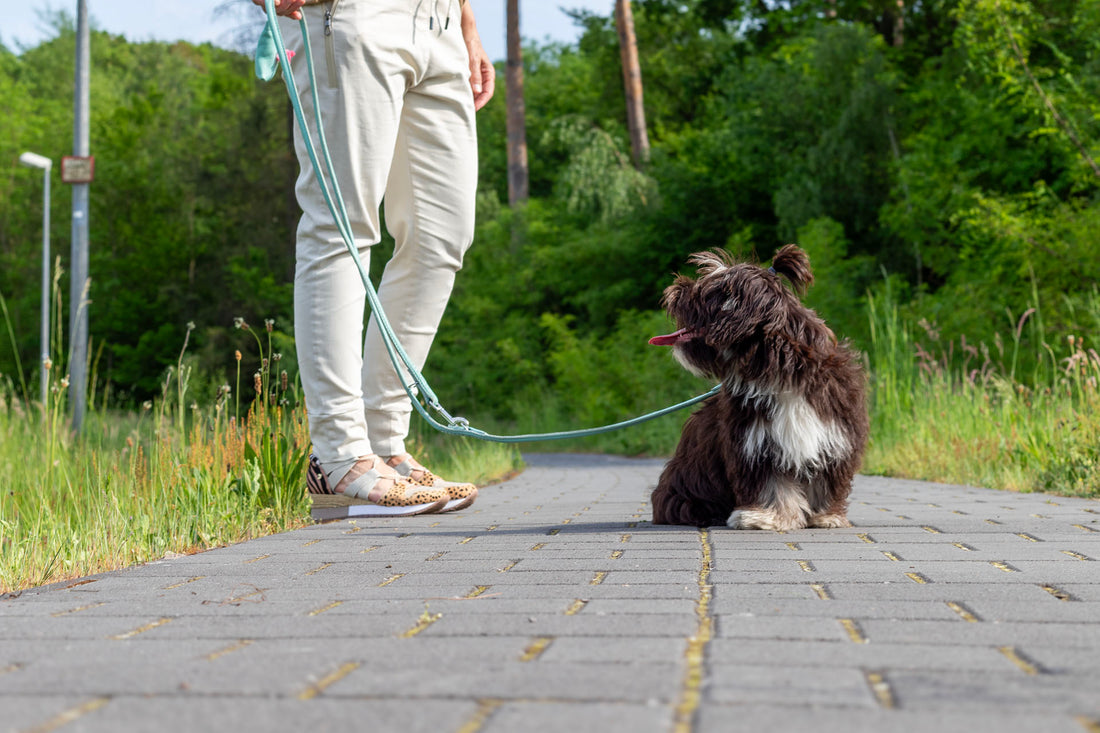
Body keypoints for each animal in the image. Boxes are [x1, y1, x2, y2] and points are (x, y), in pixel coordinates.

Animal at [642, 245, 866, 526]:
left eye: (704, 293)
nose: (675, 289)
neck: (780, 371)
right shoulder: (755, 443)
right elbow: (770, 484)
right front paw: (765, 516)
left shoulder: (833, 436)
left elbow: (826, 482)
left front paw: (827, 515)